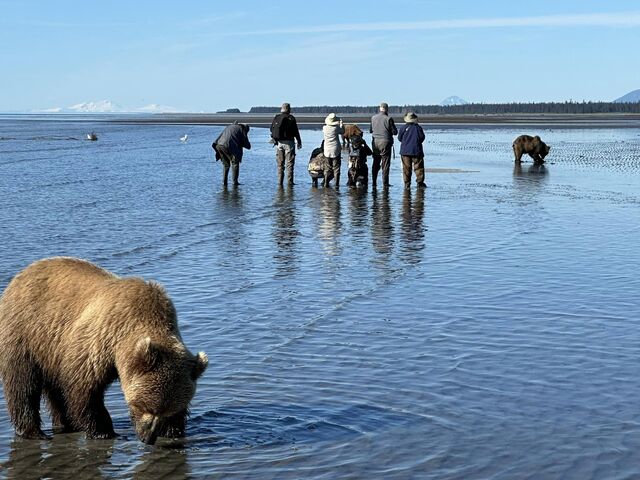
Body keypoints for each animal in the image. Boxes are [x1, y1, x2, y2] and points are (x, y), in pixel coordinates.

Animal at [0, 256, 209, 444]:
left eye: (167, 410)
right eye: (144, 406)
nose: (148, 438)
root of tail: (20, 276)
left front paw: (173, 430)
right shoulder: (97, 342)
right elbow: (85, 390)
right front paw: (104, 432)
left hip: (52, 351)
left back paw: (65, 424)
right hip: (26, 334)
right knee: (23, 386)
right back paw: (34, 432)